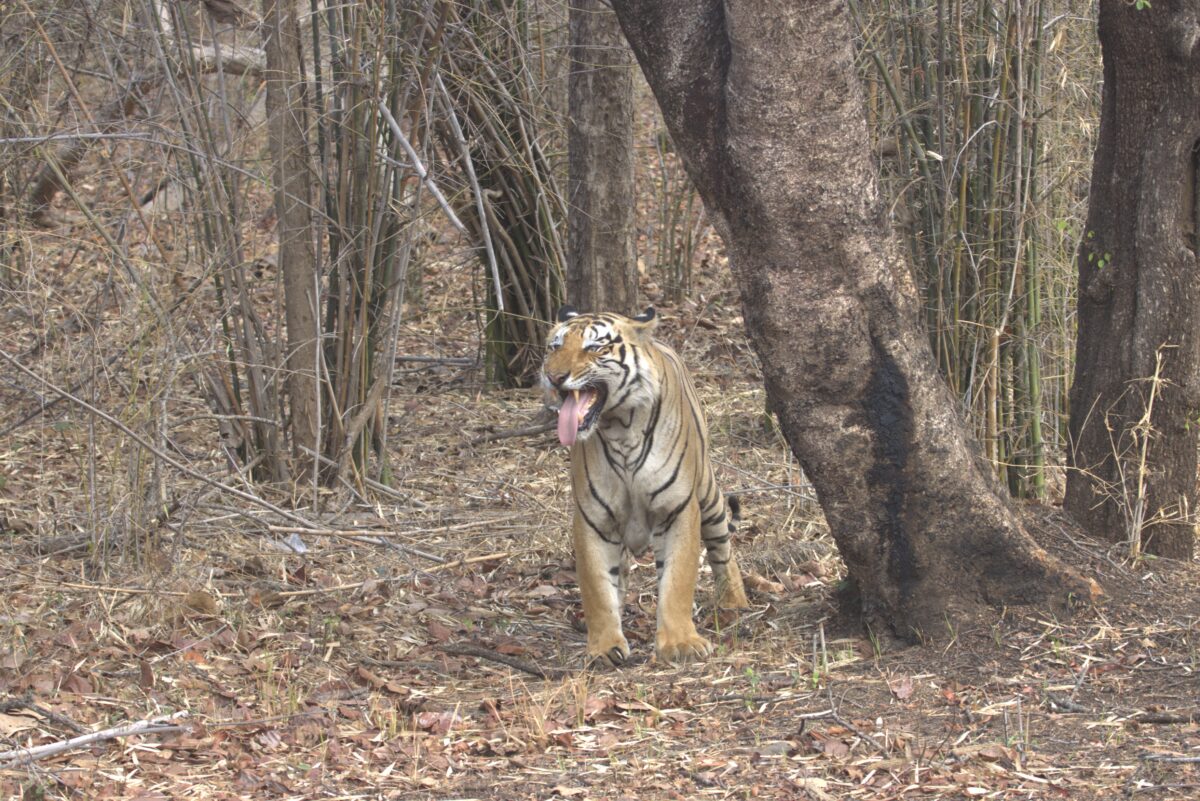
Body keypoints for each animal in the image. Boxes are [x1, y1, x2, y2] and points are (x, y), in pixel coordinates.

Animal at [547, 304, 748, 661]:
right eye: (554, 347)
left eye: (594, 347)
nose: (553, 376)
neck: (619, 427)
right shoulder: (593, 519)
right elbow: (597, 587)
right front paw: (604, 646)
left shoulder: (678, 510)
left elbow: (677, 579)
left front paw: (680, 643)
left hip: (709, 496)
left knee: (723, 548)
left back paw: (735, 602)